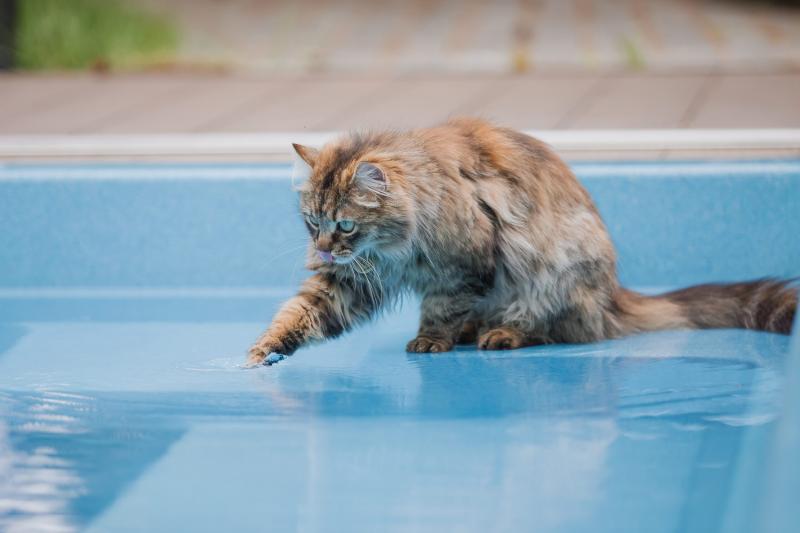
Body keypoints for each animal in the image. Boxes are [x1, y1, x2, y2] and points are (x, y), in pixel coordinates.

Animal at [247, 116, 796, 366]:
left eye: (344, 226)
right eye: (311, 222)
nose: (321, 249)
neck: (391, 250)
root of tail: (613, 294)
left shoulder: (464, 266)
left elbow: (441, 308)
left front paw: (431, 340)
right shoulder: (349, 281)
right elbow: (302, 313)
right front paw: (266, 350)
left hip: (555, 272)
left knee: (555, 330)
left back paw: (501, 335)